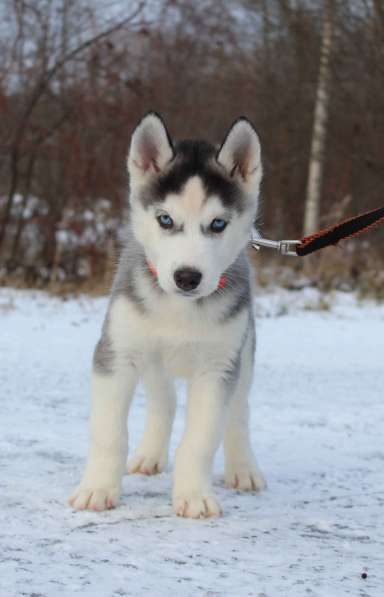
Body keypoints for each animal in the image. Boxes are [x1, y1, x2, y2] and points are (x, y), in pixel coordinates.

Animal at [69, 113, 266, 516]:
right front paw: (97, 489)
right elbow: (109, 434)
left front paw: (193, 495)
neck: (180, 308)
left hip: (244, 353)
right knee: (165, 400)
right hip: (151, 359)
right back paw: (149, 455)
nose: (187, 277)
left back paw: (243, 468)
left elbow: (200, 440)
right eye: (164, 219)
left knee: (239, 412)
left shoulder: (218, 368)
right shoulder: (116, 354)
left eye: (218, 224)